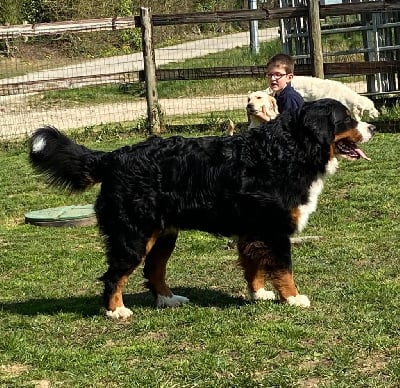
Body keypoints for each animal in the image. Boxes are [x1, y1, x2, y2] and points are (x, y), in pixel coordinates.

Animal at [28, 98, 376, 320]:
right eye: (347, 119)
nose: (372, 127)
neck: (288, 151)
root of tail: (112, 157)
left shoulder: (252, 231)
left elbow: (253, 266)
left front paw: (258, 294)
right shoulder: (274, 229)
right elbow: (283, 268)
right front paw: (293, 298)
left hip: (164, 235)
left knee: (153, 269)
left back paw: (168, 299)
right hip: (134, 235)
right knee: (115, 275)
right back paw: (116, 310)